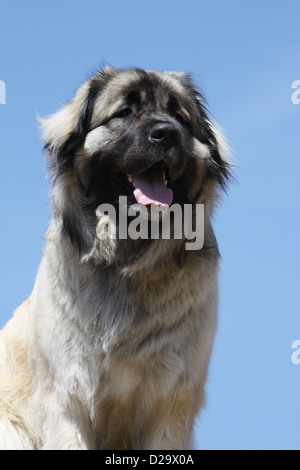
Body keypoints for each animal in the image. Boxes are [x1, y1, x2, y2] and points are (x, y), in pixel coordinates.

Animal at [0, 67, 231, 452]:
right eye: (124, 112)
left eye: (178, 116)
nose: (167, 133)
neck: (128, 264)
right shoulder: (67, 400)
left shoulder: (170, 403)